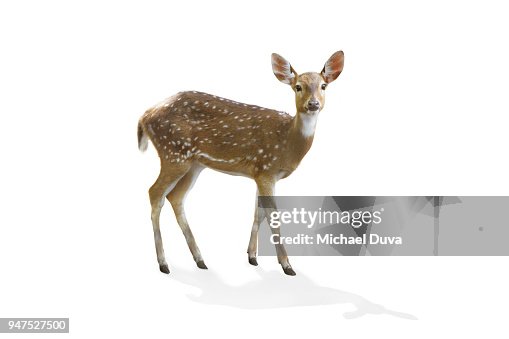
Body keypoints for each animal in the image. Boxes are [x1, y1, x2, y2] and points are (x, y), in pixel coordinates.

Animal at [139, 51, 344, 276]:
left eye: (323, 86)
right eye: (298, 86)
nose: (313, 104)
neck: (287, 142)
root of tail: (144, 117)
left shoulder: (260, 173)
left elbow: (258, 212)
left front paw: (252, 257)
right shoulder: (266, 169)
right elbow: (272, 215)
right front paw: (287, 265)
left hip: (193, 164)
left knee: (175, 197)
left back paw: (200, 259)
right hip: (173, 154)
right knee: (155, 192)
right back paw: (163, 263)